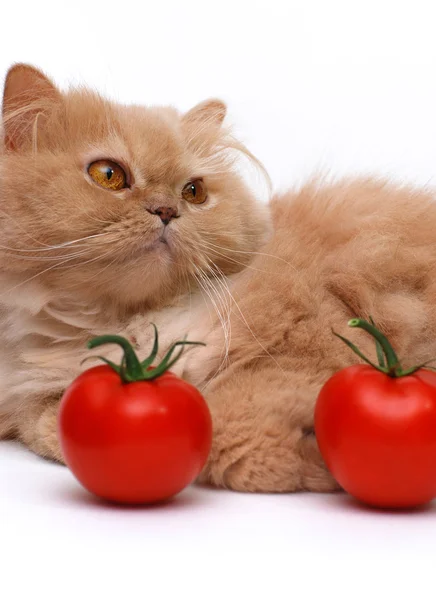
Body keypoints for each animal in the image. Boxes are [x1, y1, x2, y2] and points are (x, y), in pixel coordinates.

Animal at [3, 63, 436, 494]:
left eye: (194, 192)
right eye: (108, 175)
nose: (166, 210)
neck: (129, 328)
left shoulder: (319, 326)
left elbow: (234, 431)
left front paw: (317, 460)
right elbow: (44, 424)